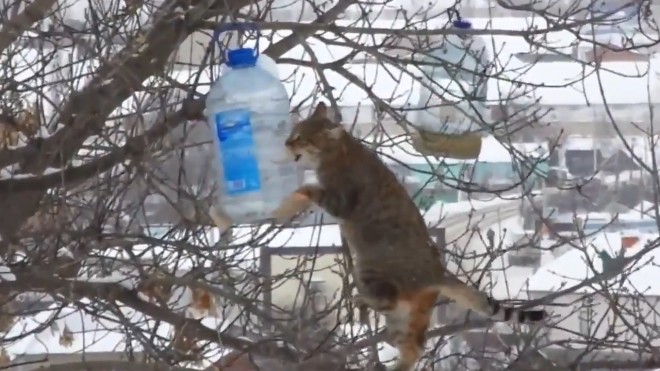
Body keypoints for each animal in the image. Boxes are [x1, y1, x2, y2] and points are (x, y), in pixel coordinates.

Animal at [270, 102, 548, 371]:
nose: (286, 143)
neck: (339, 151)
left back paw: (361, 299)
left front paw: (285, 206)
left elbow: (308, 187)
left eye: (301, 138)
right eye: (293, 132)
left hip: (369, 271)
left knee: (388, 302)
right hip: (407, 315)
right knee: (413, 347)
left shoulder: (341, 201)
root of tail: (437, 272)